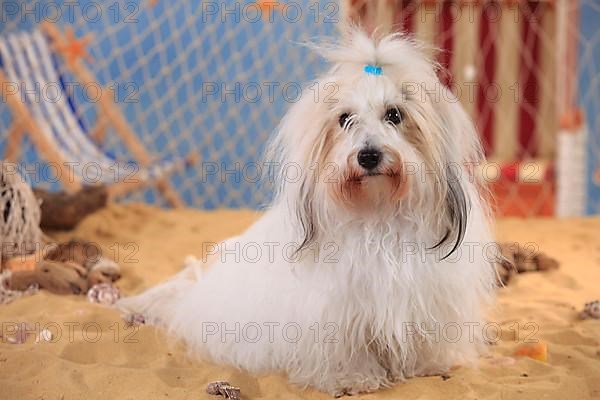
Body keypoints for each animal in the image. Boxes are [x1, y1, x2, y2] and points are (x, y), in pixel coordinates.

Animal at [115, 29, 494, 396]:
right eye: (344, 119)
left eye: (395, 115)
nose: (368, 155)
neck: (377, 213)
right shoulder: (337, 311)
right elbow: (345, 347)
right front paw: (351, 378)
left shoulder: (424, 295)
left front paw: (427, 365)